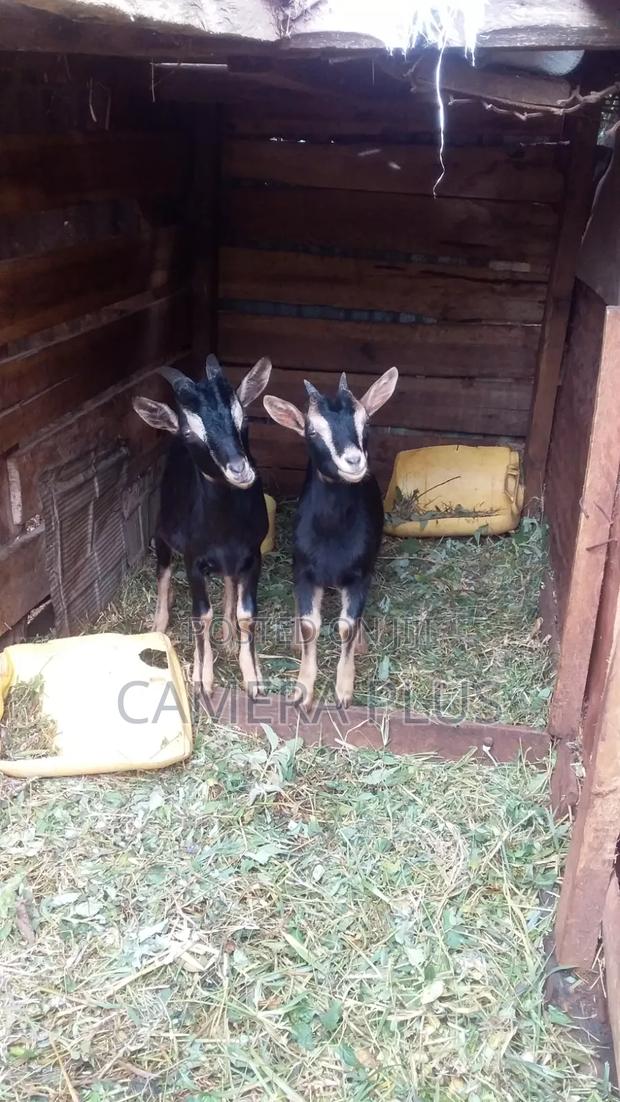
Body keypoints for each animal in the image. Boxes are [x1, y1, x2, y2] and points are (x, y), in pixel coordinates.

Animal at [133, 354, 272, 700]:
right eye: (189, 433)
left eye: (242, 417)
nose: (239, 470)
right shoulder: (193, 560)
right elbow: (201, 615)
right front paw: (202, 678)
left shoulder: (253, 556)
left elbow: (246, 614)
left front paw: (252, 675)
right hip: (163, 533)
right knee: (163, 573)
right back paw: (158, 624)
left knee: (229, 584)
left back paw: (228, 635)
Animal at [263, 367, 398, 708]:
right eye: (311, 431)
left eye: (366, 422)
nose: (354, 460)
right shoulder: (303, 571)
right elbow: (310, 625)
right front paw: (302, 690)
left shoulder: (360, 575)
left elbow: (346, 626)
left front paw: (343, 689)